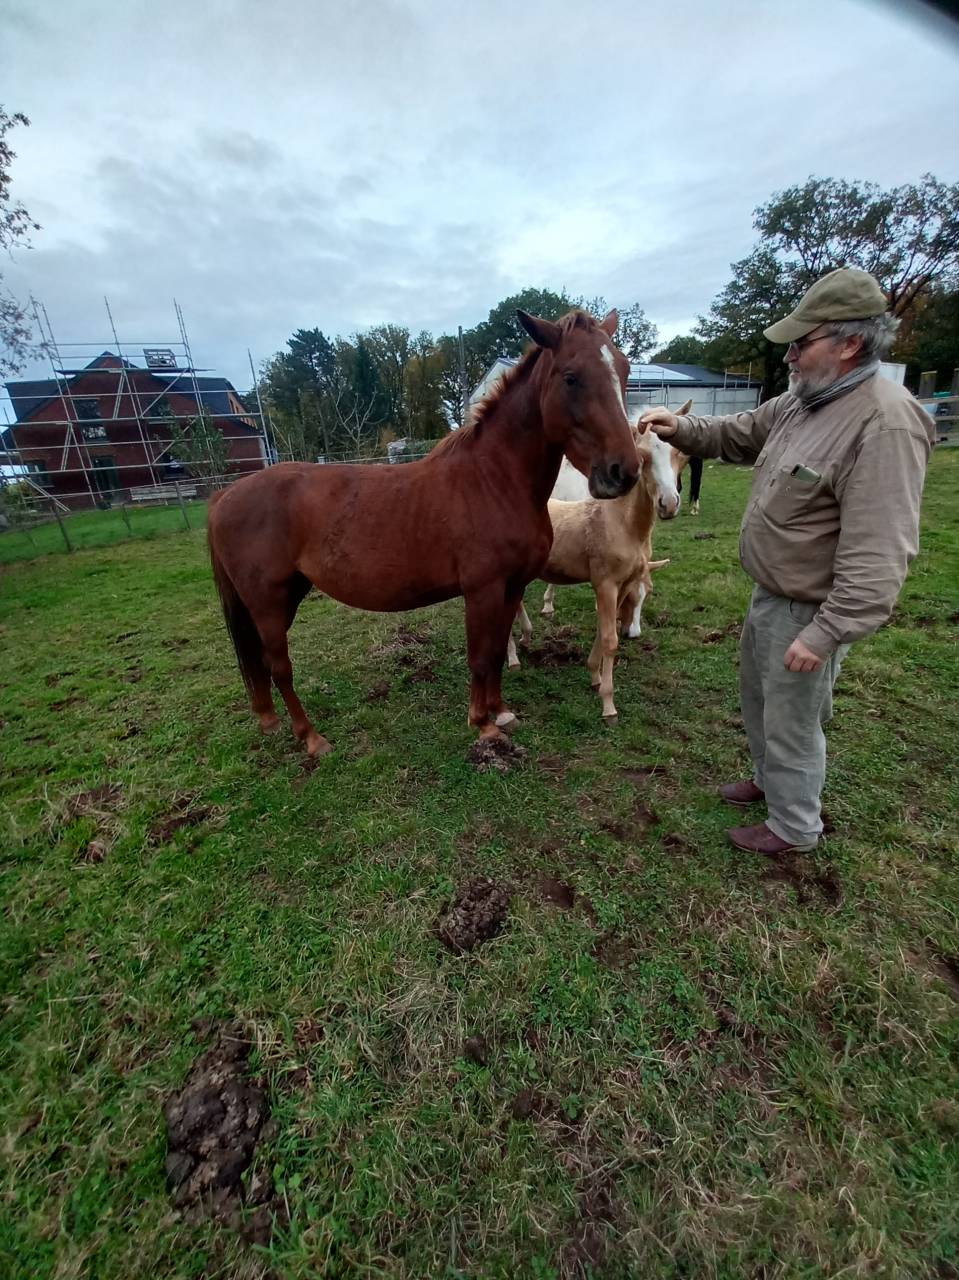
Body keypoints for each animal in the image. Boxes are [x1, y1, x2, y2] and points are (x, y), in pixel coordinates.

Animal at [207, 309, 639, 756]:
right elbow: (480, 656)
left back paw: (271, 721)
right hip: (268, 603)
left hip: (287, 595)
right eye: (571, 377)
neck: (494, 480)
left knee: (261, 662)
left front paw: (501, 712)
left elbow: (498, 650)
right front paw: (483, 725)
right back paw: (311, 738)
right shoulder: (482, 590)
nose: (623, 472)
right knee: (279, 666)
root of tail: (223, 497)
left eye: (624, 370)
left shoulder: (513, 586)